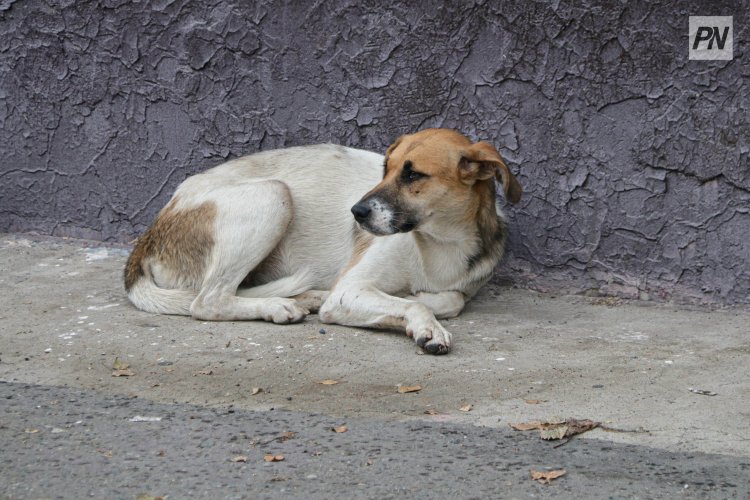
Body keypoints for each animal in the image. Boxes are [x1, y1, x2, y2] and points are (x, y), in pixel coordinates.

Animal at [123, 130, 524, 356]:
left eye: (413, 175)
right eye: (386, 169)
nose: (356, 212)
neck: (440, 241)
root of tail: (152, 232)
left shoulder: (460, 285)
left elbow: (451, 299)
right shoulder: (349, 290)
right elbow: (418, 304)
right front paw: (426, 323)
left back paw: (302, 298)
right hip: (273, 195)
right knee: (208, 301)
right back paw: (278, 306)